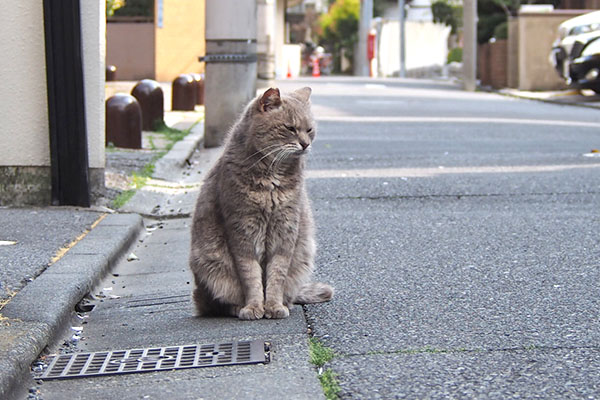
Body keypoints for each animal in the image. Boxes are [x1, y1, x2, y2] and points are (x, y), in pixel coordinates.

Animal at [189, 86, 332, 318]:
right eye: (290, 128)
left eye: (309, 130)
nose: (305, 144)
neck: (271, 180)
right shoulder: (242, 231)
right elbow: (251, 276)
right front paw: (254, 307)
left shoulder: (286, 230)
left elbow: (277, 275)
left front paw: (273, 306)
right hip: (209, 264)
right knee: (216, 303)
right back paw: (237, 308)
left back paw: (285, 304)